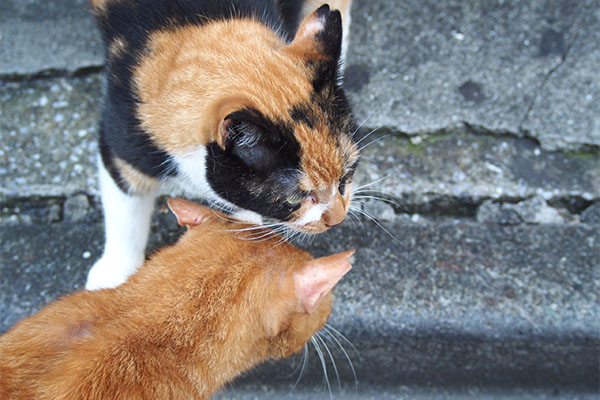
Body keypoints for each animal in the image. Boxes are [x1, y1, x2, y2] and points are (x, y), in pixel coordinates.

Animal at [88, 0, 358, 288]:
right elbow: (124, 212)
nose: (338, 219)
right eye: (295, 198)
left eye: (347, 175)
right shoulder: (122, 141)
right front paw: (114, 273)